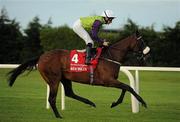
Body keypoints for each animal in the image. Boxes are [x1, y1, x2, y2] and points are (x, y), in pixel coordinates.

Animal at [7, 32, 149, 118]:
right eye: (141, 42)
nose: (147, 53)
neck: (111, 56)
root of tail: (41, 57)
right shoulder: (108, 81)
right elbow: (128, 87)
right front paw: (143, 102)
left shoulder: (112, 80)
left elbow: (125, 88)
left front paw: (115, 103)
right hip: (54, 79)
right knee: (52, 99)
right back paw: (59, 116)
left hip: (65, 78)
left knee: (69, 93)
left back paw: (90, 103)